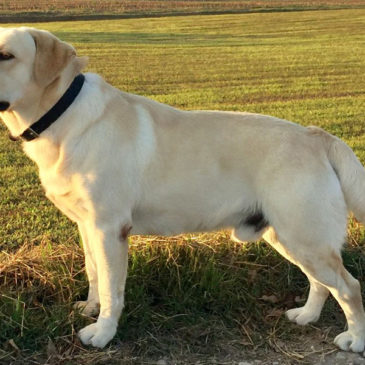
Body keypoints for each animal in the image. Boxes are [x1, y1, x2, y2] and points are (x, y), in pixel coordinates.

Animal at [0, 27, 364, 352]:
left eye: (6, 55)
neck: (61, 115)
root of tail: (316, 135)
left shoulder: (109, 228)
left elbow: (111, 289)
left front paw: (103, 333)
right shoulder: (87, 226)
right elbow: (94, 273)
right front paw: (90, 309)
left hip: (305, 237)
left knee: (349, 287)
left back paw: (354, 340)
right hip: (291, 237)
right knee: (320, 283)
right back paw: (307, 315)